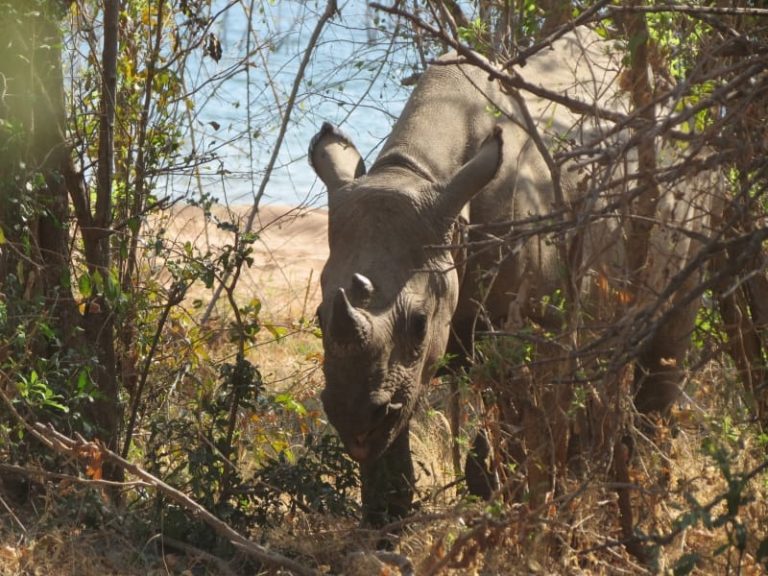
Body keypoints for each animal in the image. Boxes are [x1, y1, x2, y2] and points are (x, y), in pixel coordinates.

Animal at [309, 29, 712, 524]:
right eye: (318, 318)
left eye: (420, 324)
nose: (354, 423)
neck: (418, 172)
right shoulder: (393, 372)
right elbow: (392, 459)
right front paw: (382, 526)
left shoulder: (528, 329)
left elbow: (508, 442)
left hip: (694, 189)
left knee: (664, 345)